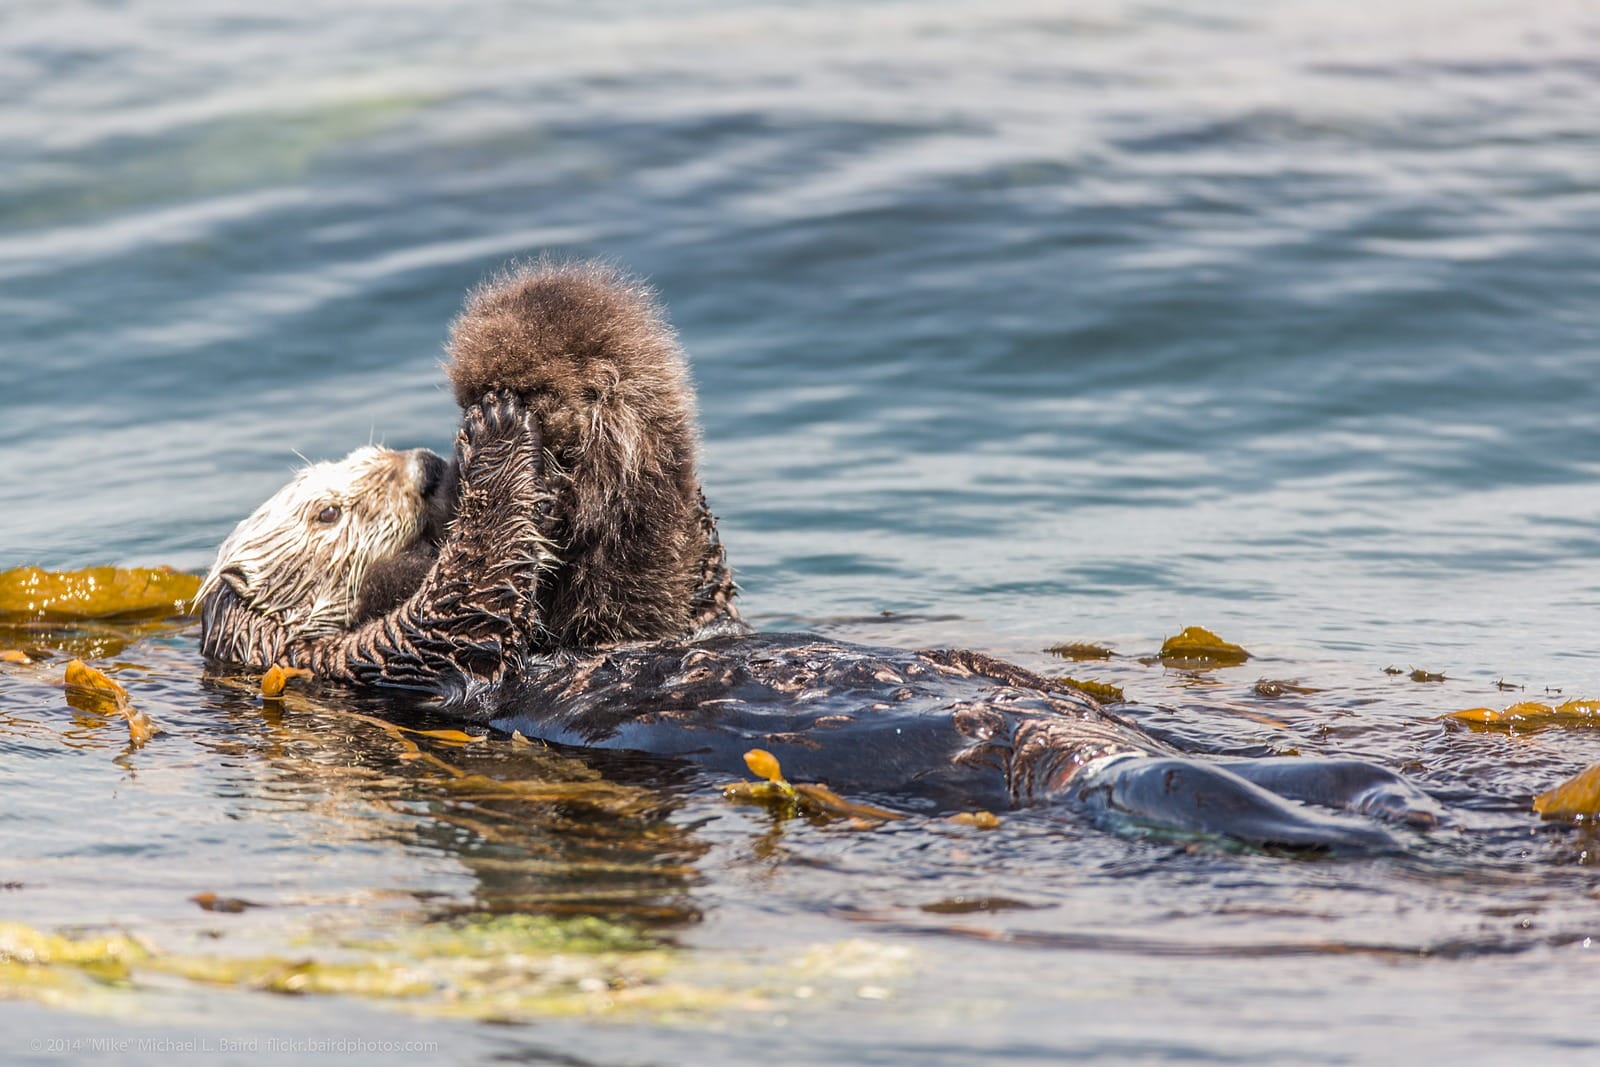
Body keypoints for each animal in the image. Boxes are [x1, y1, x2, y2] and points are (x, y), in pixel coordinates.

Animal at [199, 262, 1443, 848]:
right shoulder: (380, 661)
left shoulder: (636, 612)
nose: (424, 465)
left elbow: (670, 592)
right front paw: (500, 432)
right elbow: (472, 591)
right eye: (324, 512)